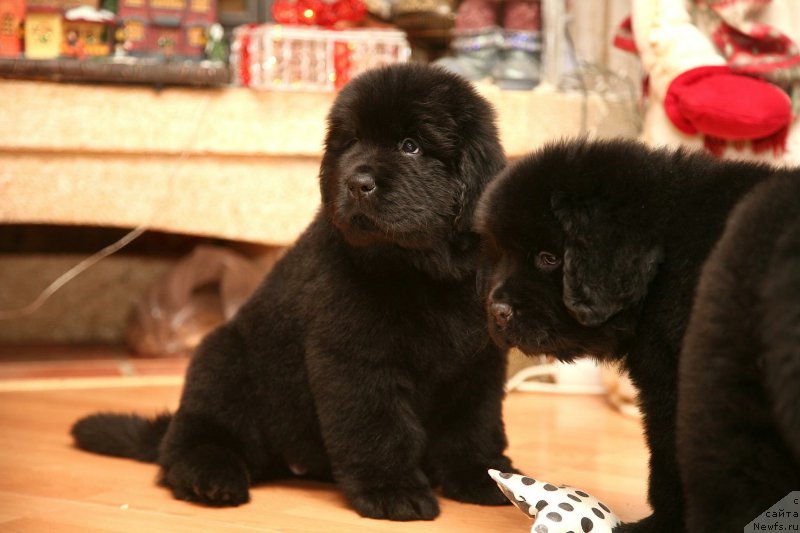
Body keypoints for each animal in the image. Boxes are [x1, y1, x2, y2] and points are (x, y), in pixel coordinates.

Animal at [70, 64, 512, 520]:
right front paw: (393, 490)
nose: (357, 183)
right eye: (351, 142)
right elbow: (379, 428)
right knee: (189, 442)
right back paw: (210, 476)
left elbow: (474, 425)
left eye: (411, 146)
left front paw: (483, 476)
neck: (422, 272)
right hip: (222, 362)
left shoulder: (478, 362)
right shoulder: (357, 361)